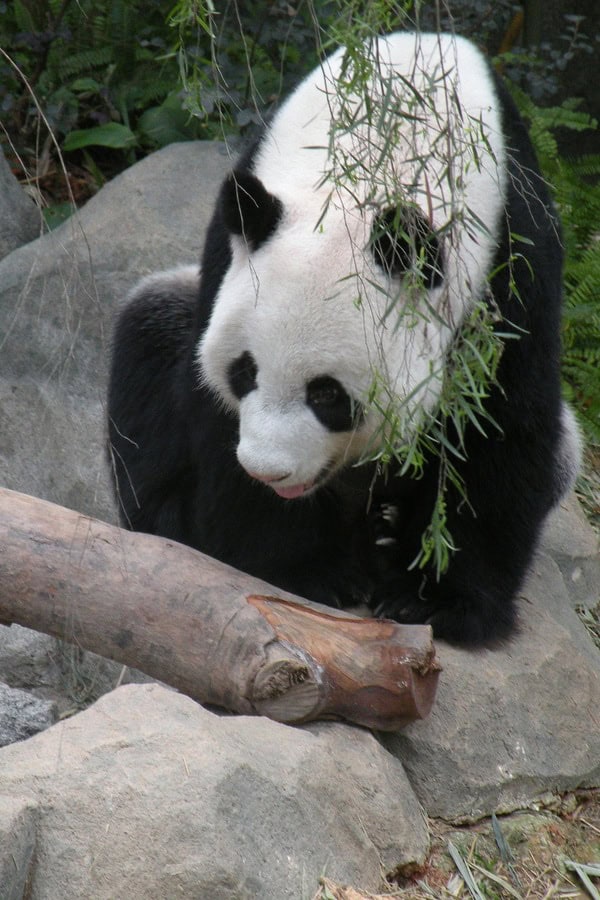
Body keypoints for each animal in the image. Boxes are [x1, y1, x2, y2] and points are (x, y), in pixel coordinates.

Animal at [108, 32, 580, 647]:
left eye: (327, 394)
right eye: (244, 372)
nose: (268, 471)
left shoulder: (512, 258)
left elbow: (493, 427)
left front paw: (433, 600)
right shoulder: (231, 241)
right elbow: (208, 405)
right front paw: (306, 570)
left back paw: (386, 530)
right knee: (149, 332)